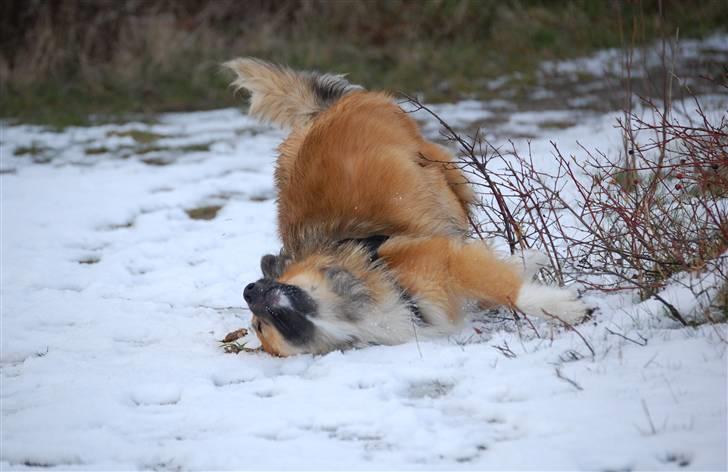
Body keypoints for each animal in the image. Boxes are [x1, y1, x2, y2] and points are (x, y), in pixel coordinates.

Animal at [222, 58, 584, 354]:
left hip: (441, 175)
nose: (248, 289)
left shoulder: (442, 261)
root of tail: (322, 114)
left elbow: (504, 288)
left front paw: (561, 307)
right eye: (259, 326)